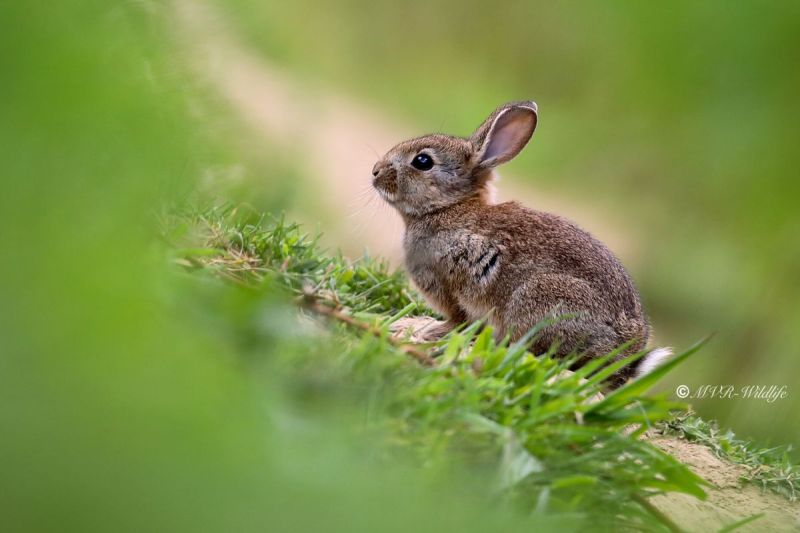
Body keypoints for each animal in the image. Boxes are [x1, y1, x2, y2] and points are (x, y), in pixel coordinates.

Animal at [372, 101, 671, 386]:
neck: (447, 207)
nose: (375, 171)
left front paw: (428, 330)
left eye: (422, 161)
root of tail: (626, 358)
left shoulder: (450, 287)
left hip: (539, 298)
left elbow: (457, 320)